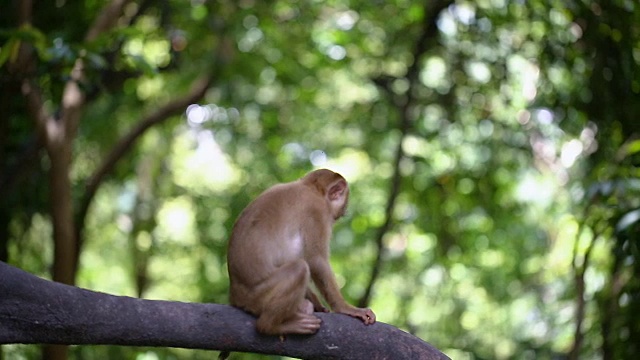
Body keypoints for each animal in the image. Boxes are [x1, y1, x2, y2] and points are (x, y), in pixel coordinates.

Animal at [228, 169, 376, 334]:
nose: (344, 211)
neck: (310, 187)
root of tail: (236, 295)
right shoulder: (317, 211)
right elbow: (316, 260)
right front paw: (346, 308)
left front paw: (317, 303)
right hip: (258, 297)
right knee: (299, 268)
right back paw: (272, 326)